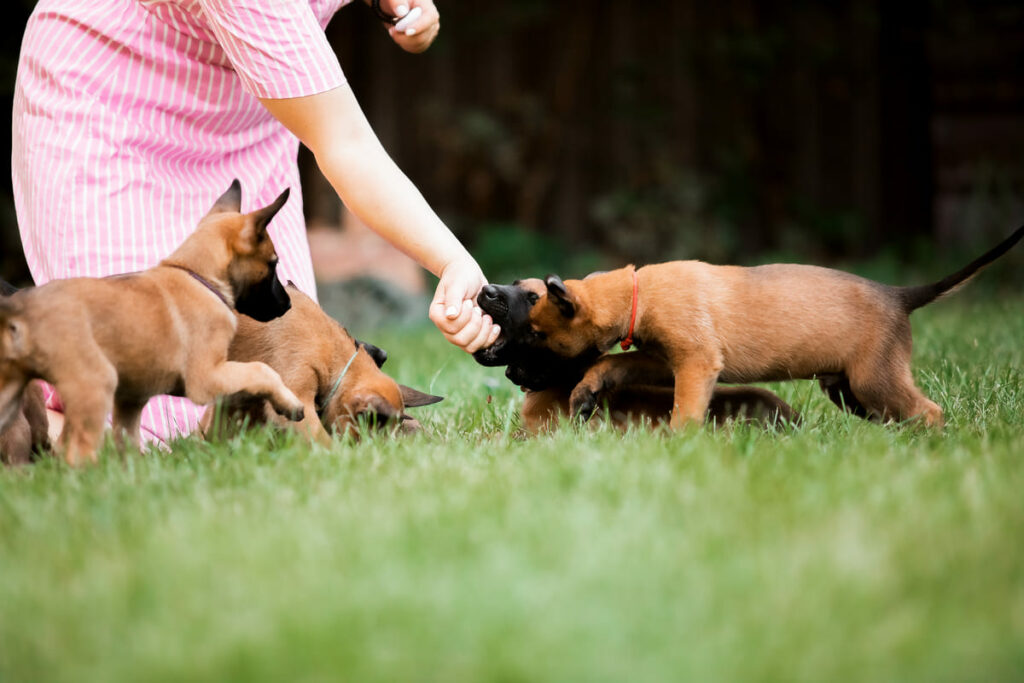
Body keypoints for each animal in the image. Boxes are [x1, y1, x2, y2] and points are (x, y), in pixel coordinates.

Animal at [0, 180, 303, 464]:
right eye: (273, 264)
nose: (287, 304)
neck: (196, 275)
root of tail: (21, 307)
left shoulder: (131, 398)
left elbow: (127, 438)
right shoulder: (206, 378)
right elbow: (261, 369)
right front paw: (289, 403)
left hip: (11, 393)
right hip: (95, 382)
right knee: (74, 450)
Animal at [520, 225, 1024, 428]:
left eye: (540, 336)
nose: (519, 377)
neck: (638, 293)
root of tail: (898, 294)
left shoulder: (697, 363)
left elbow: (685, 411)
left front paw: (680, 444)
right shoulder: (667, 360)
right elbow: (613, 363)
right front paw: (586, 388)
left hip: (873, 380)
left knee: (929, 412)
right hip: (848, 390)